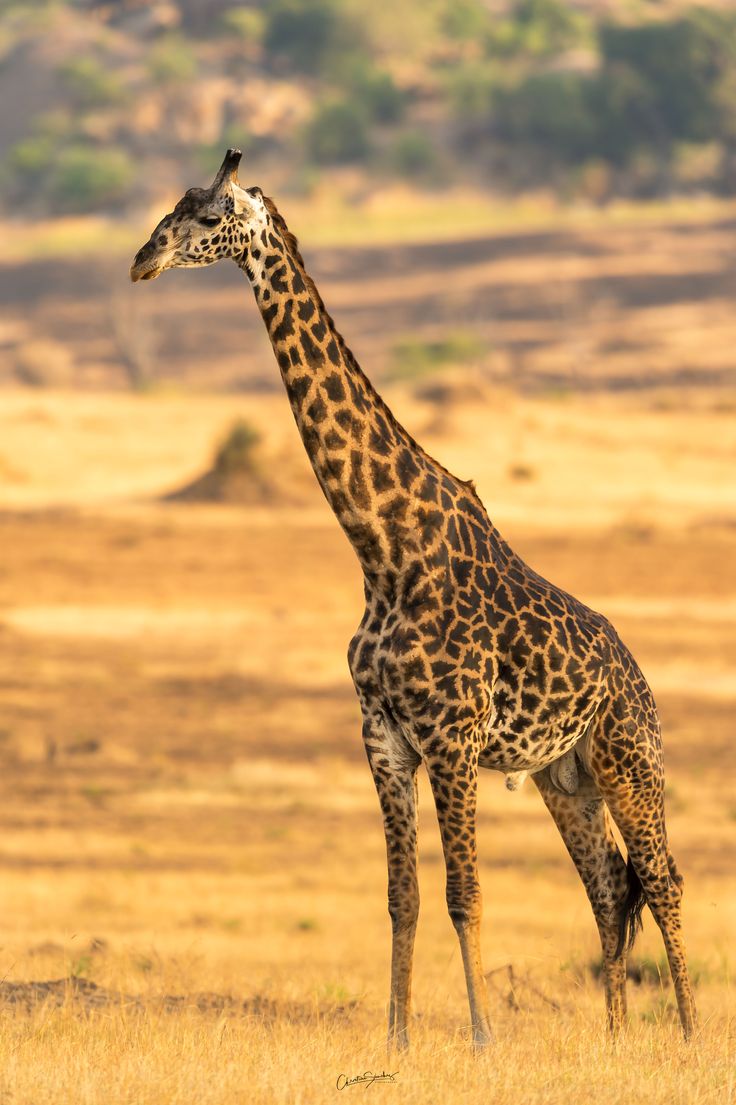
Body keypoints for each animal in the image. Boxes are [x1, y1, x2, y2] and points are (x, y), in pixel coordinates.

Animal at [130, 150, 697, 1049]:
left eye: (209, 215)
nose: (141, 259)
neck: (383, 550)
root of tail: (637, 675)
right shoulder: (384, 736)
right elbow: (404, 896)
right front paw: (396, 1036)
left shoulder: (452, 737)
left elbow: (466, 893)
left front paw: (482, 1037)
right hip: (565, 775)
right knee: (610, 886)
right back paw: (614, 1036)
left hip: (629, 755)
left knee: (663, 877)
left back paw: (689, 1033)